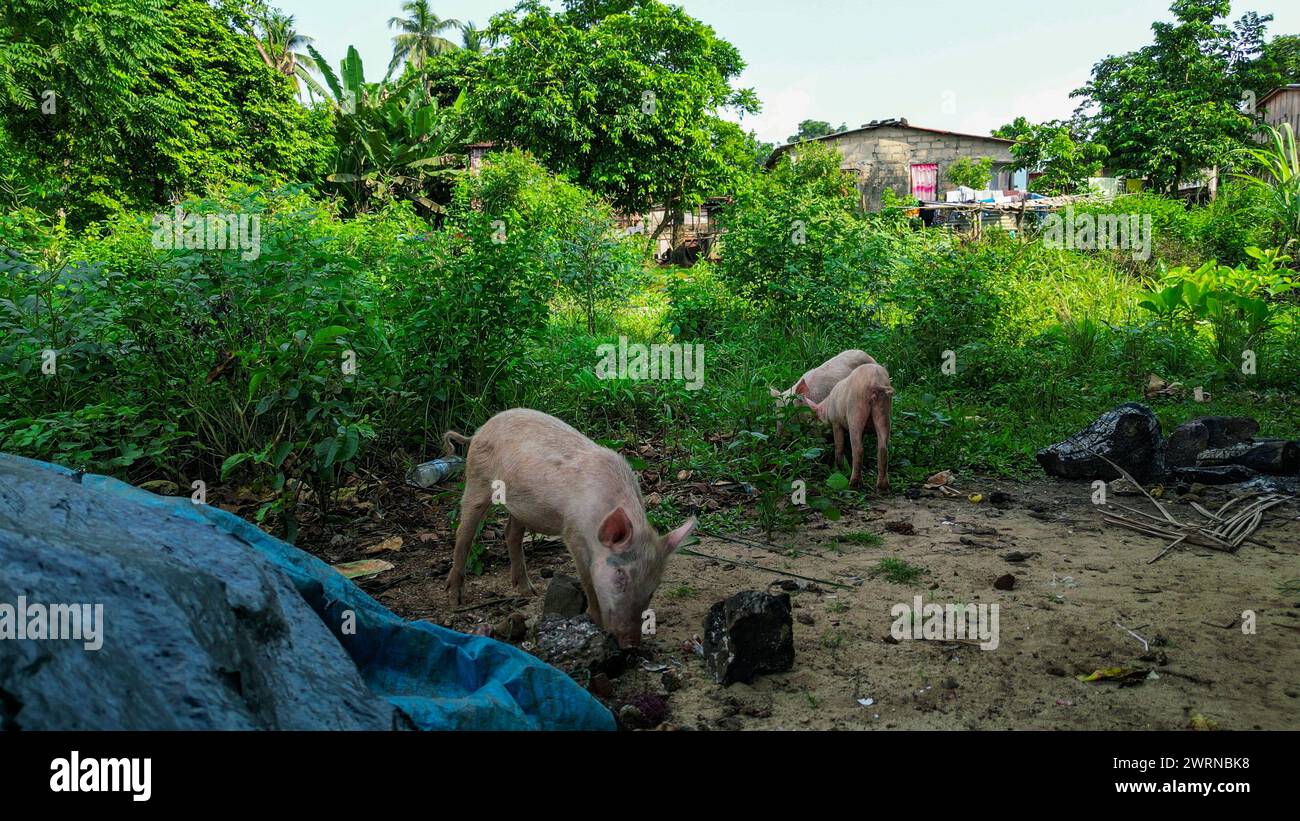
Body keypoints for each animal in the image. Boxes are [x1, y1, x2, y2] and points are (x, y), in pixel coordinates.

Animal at [441, 407, 696, 646]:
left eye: (653, 588)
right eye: (620, 576)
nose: (631, 644)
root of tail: (479, 431)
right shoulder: (573, 532)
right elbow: (587, 580)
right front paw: (595, 621)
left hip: (522, 505)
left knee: (511, 533)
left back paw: (529, 591)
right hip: (477, 478)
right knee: (464, 532)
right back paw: (455, 599)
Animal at [790, 361, 894, 491]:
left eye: (813, 418)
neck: (827, 407)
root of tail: (875, 382)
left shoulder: (836, 422)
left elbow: (839, 445)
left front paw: (838, 469)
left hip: (855, 411)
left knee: (858, 449)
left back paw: (853, 484)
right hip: (884, 410)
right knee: (883, 448)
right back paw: (882, 486)